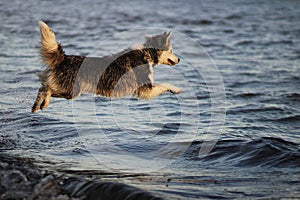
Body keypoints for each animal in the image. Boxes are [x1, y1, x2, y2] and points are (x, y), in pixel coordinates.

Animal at [32, 21, 180, 114]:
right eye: (171, 51)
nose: (179, 59)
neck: (147, 53)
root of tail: (64, 58)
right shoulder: (146, 89)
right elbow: (165, 84)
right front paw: (177, 89)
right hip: (71, 91)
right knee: (46, 88)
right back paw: (43, 103)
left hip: (69, 90)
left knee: (43, 87)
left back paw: (37, 106)